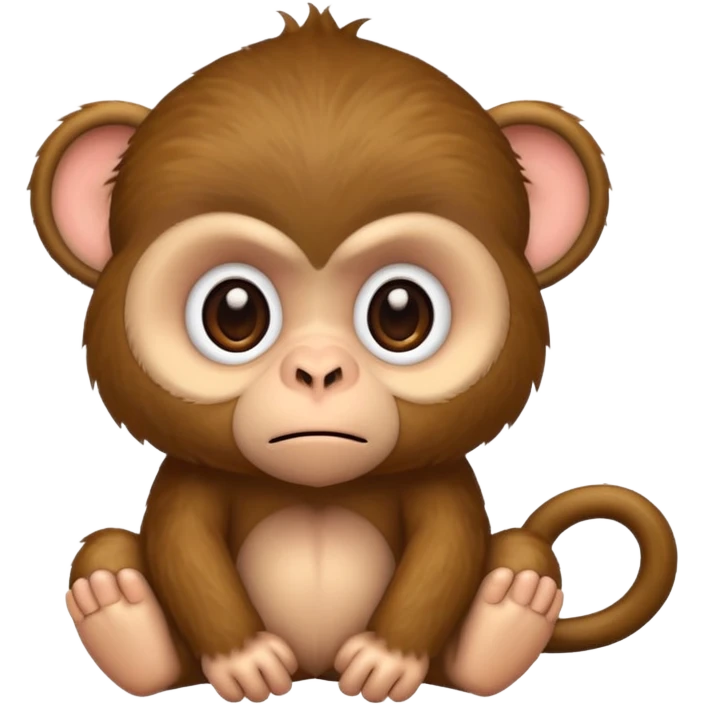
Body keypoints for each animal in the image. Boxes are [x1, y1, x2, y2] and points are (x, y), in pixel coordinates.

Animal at [28, 4, 677, 703]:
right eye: (235, 312)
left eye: (400, 312)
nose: (317, 371)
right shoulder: (190, 478)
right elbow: (183, 545)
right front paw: (243, 660)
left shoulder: (440, 478)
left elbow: (447, 547)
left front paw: (386, 660)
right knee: (106, 555)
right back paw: (118, 610)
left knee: (515, 565)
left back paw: (510, 611)